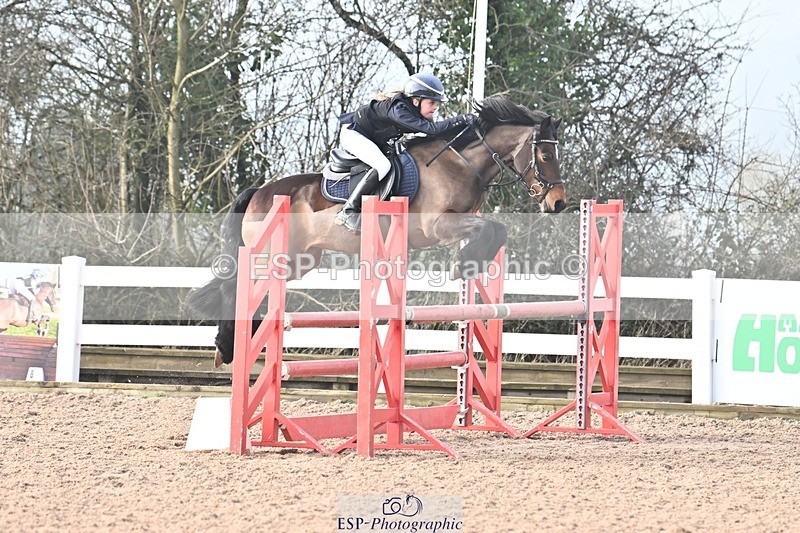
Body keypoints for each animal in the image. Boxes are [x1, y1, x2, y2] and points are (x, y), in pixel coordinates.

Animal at [188, 96, 566, 366]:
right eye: (546, 155)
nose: (559, 203)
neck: (462, 162)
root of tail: (259, 192)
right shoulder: (436, 224)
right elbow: (490, 227)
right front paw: (464, 265)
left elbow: (496, 230)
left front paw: (470, 263)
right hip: (271, 255)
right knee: (237, 287)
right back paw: (228, 347)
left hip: (300, 261)